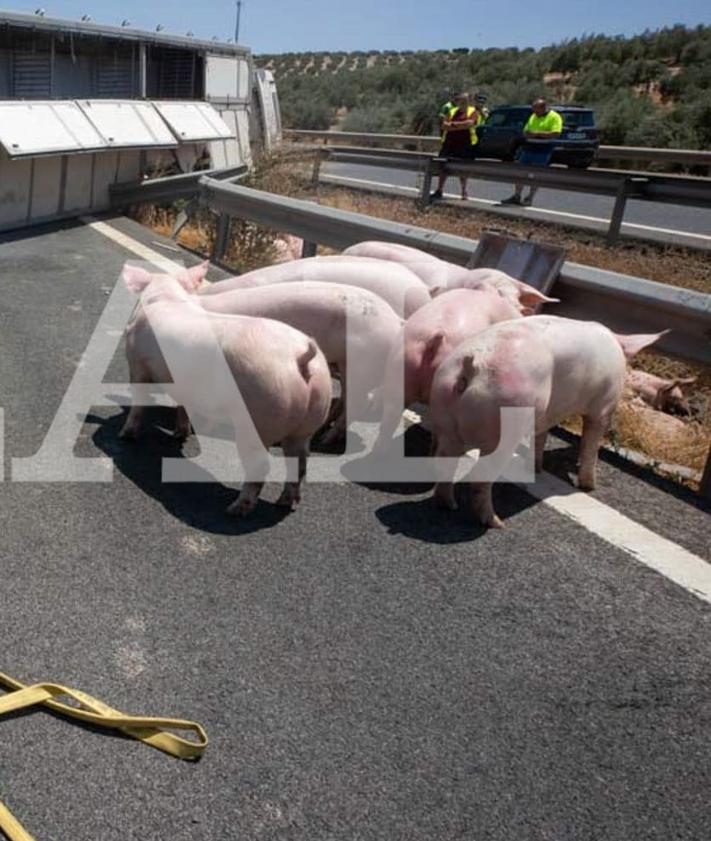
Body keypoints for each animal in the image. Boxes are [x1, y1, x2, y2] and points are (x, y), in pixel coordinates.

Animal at [121, 262, 332, 516]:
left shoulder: (137, 363)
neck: (166, 294)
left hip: (258, 415)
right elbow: (183, 406)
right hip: (309, 420)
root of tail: (300, 357)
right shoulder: (185, 385)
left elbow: (139, 401)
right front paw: (179, 435)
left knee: (260, 465)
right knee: (300, 463)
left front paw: (125, 436)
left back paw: (235, 509)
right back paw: (285, 504)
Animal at [428, 318, 668, 528]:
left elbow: (541, 435)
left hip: (445, 410)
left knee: (444, 461)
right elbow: (591, 443)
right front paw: (589, 487)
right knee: (481, 477)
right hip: (506, 420)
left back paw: (448, 504)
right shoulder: (602, 407)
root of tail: (473, 367)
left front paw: (537, 469)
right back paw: (496, 523)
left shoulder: (545, 414)